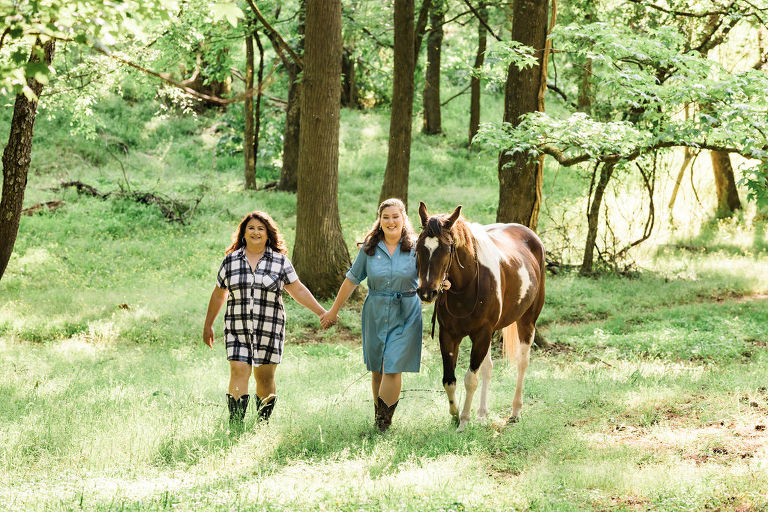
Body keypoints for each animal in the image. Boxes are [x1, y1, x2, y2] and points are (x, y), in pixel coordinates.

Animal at [415, 201, 546, 431]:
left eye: (446, 249)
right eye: (419, 247)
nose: (427, 292)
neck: (466, 285)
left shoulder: (482, 334)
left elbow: (470, 379)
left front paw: (464, 421)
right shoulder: (448, 335)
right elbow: (449, 379)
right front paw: (455, 414)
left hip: (527, 321)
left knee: (522, 362)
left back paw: (515, 412)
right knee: (488, 368)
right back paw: (483, 415)